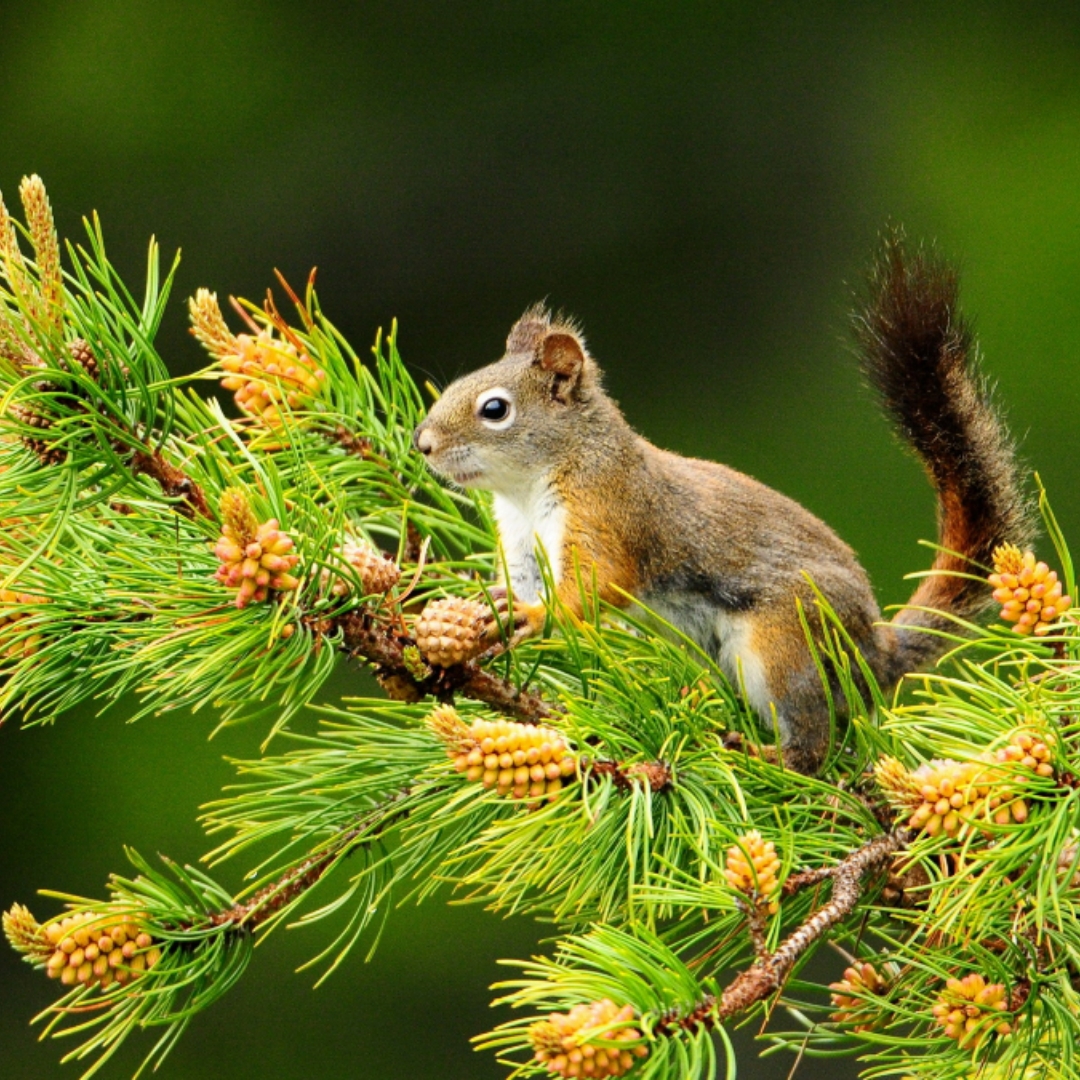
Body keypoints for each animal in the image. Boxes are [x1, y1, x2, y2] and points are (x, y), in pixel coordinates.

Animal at [410, 236, 1028, 777]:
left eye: (495, 409)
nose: (423, 444)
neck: (531, 487)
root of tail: (875, 652)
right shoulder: (521, 544)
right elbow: (522, 583)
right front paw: (492, 606)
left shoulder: (608, 514)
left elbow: (597, 584)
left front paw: (536, 616)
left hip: (786, 643)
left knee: (814, 741)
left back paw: (768, 756)